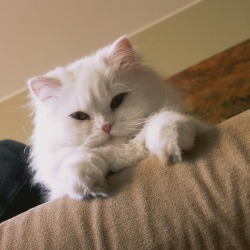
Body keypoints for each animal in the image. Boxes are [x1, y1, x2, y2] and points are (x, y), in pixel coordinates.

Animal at [27, 36, 208, 201]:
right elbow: (75, 161)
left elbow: (165, 121)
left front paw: (170, 152)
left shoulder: (197, 125)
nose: (106, 126)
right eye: (79, 116)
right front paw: (88, 186)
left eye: (117, 101)